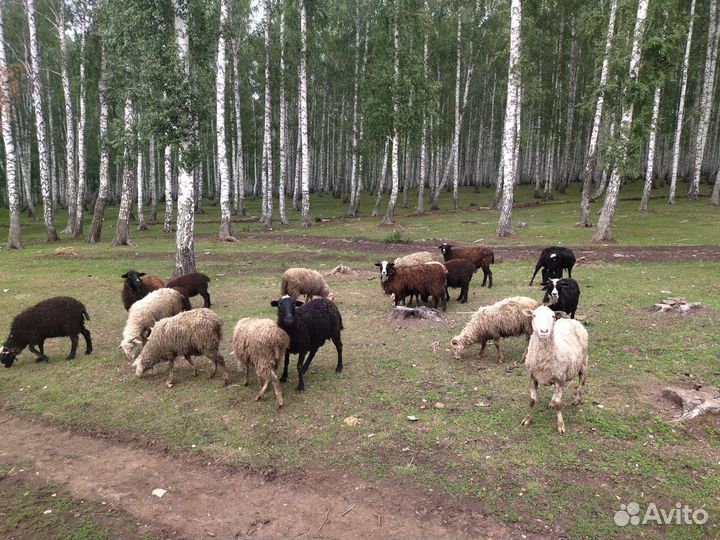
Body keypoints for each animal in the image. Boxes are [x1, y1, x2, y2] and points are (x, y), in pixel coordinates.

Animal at [520, 305, 588, 434]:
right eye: (534, 315)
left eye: (552, 316)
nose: (544, 331)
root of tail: (571, 319)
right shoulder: (533, 376)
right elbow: (532, 400)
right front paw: (527, 419)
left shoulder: (560, 379)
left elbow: (558, 403)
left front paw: (561, 425)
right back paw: (552, 401)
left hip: (583, 361)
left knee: (582, 380)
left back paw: (577, 399)